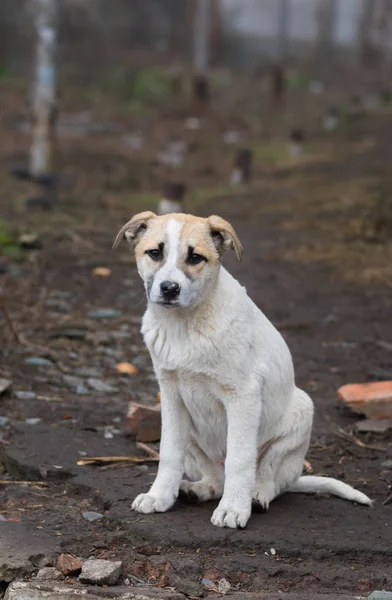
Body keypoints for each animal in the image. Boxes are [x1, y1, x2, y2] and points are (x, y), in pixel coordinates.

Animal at [112, 212, 370, 528]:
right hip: (194, 439)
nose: (169, 288)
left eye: (195, 257)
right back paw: (197, 490)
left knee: (269, 477)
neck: (185, 324)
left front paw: (234, 509)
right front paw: (159, 496)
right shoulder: (171, 394)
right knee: (216, 478)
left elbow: (240, 458)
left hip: (300, 415)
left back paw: (256, 497)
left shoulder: (243, 396)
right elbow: (169, 452)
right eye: (154, 253)